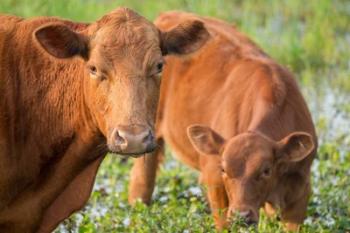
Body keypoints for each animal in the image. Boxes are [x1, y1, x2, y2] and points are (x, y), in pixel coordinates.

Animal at [129, 11, 318, 231]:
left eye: (266, 170)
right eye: (224, 169)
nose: (241, 216)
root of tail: (168, 15)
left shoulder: (301, 187)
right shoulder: (213, 177)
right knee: (142, 182)